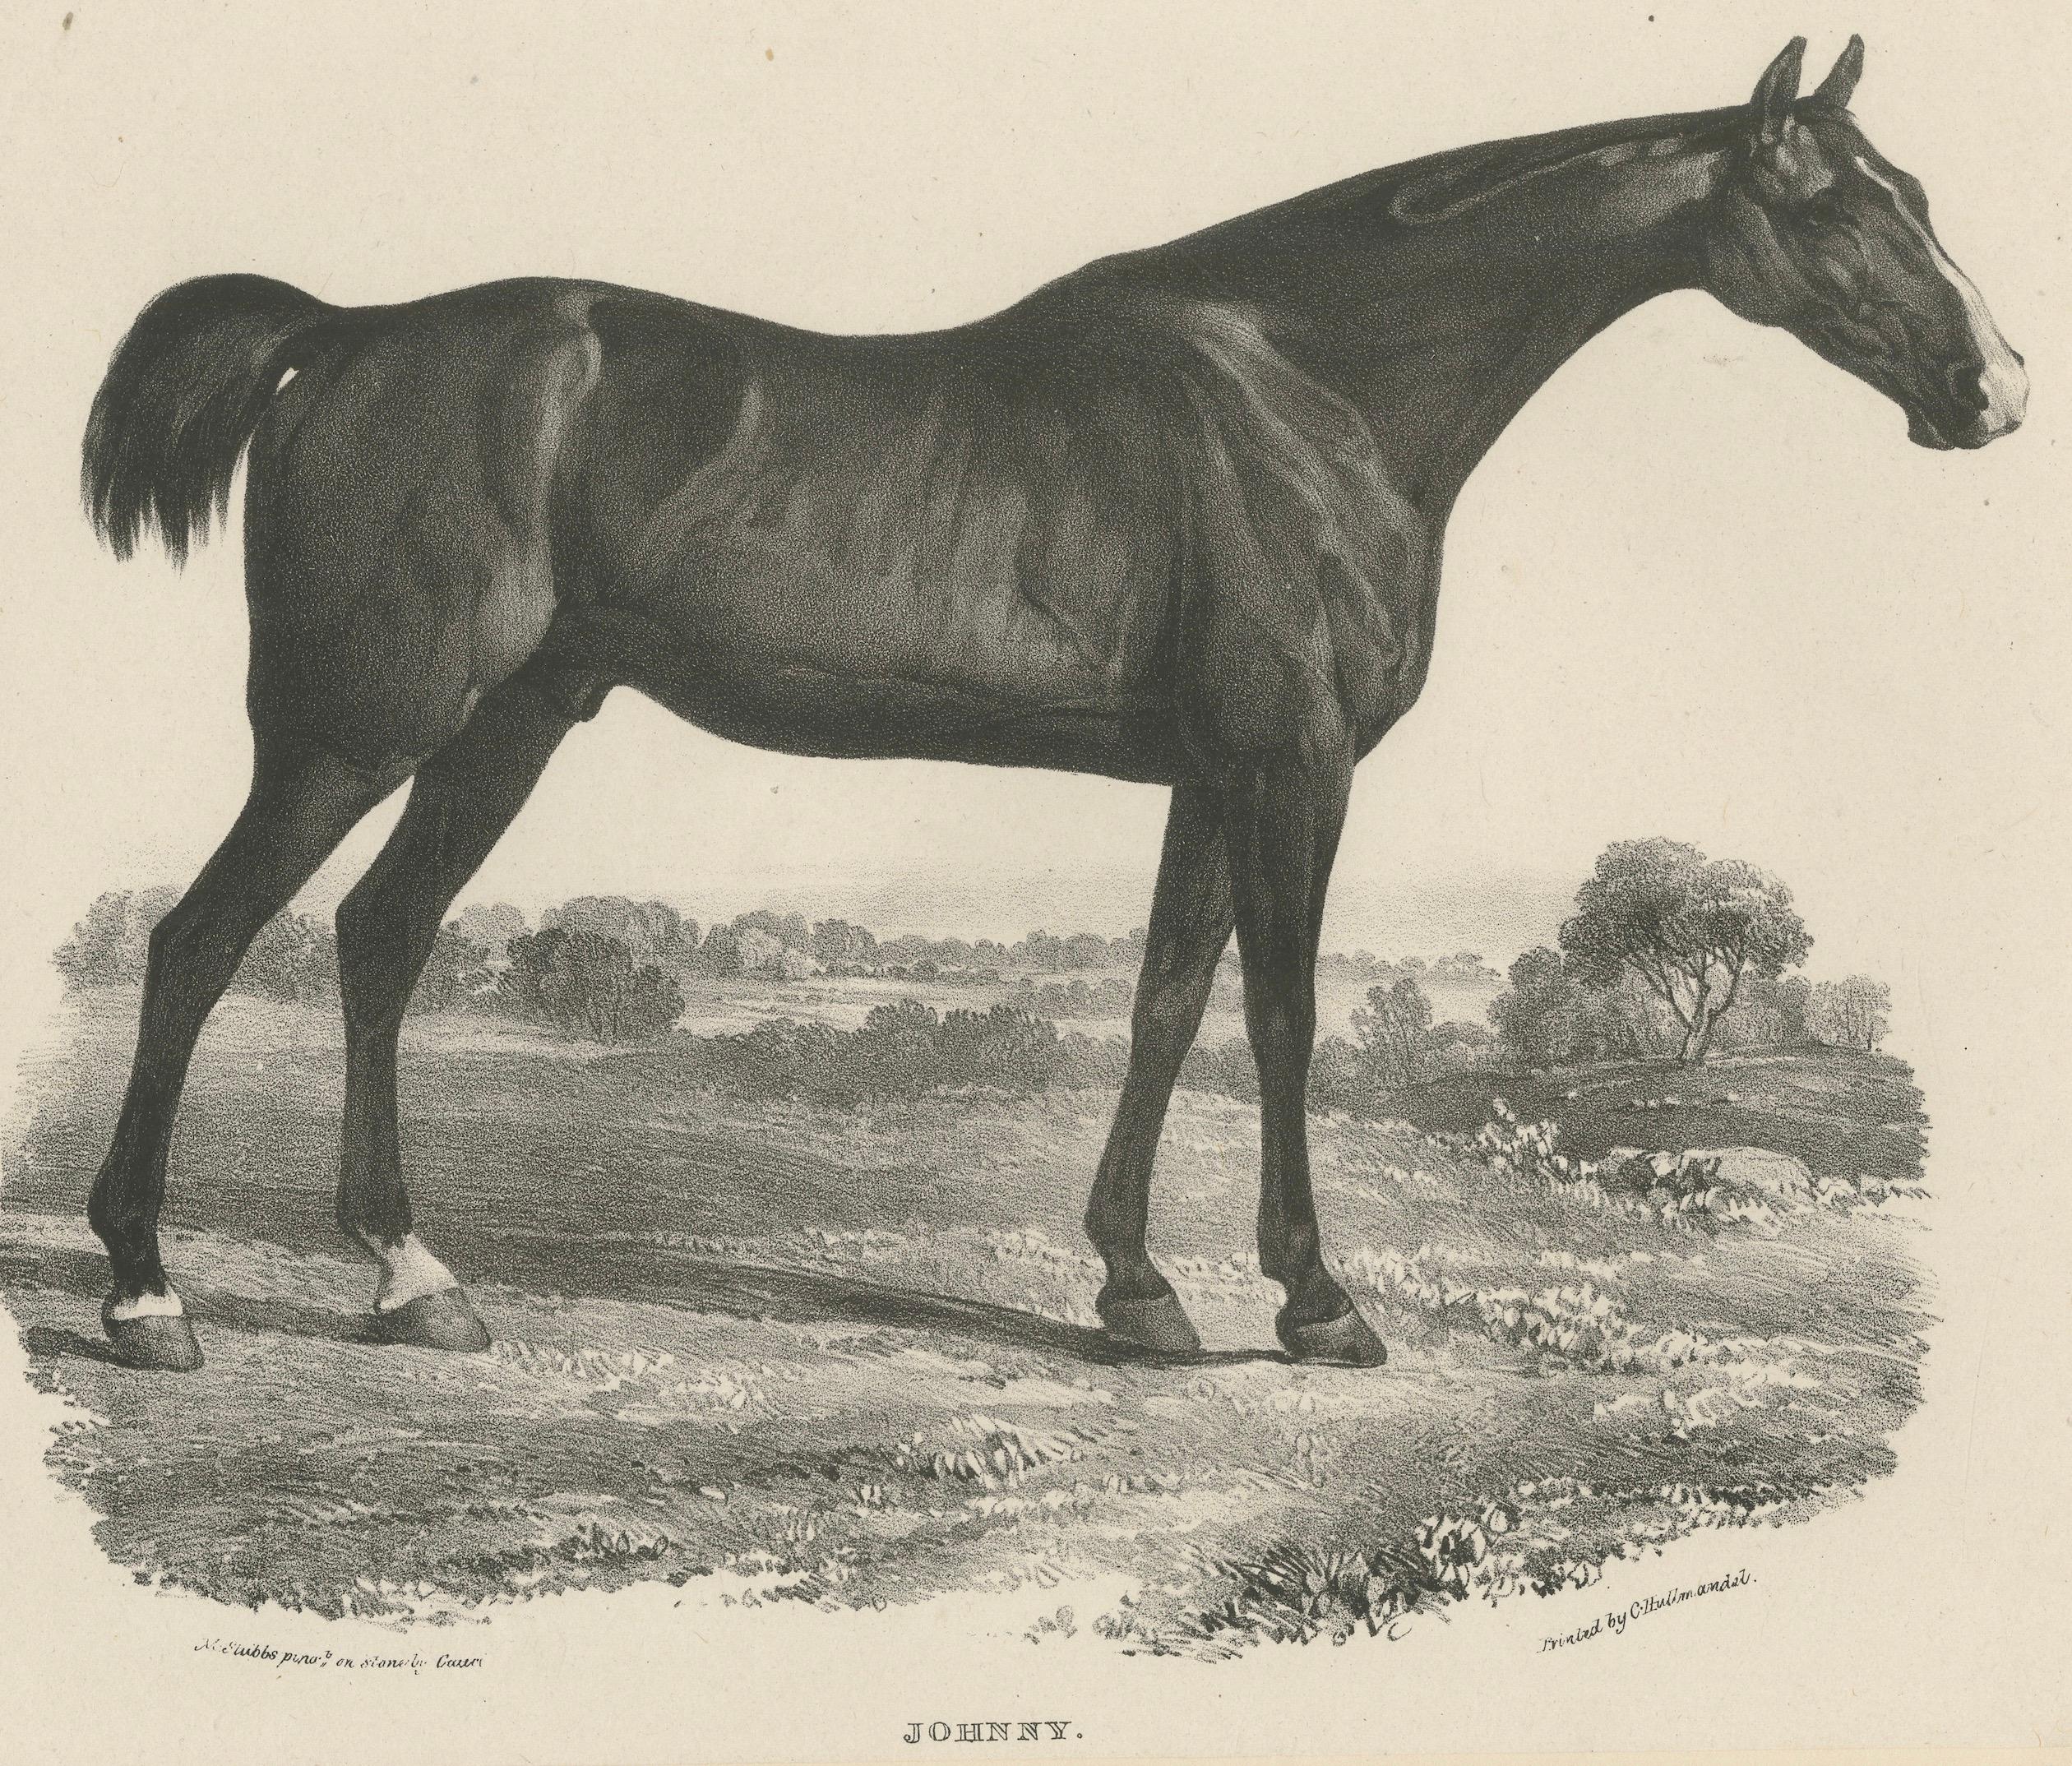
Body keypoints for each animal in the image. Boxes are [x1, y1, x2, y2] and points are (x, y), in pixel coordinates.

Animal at [78, 36, 2024, 1372]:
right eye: (1835, 201)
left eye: (1916, 193)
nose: (1995, 388)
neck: (1306, 386)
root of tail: (344, 332)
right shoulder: (1294, 767)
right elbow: (1283, 1020)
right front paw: (1316, 1302)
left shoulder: (1206, 778)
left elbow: (1165, 1008)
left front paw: (1138, 1291)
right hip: (356, 729)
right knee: (199, 944)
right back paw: (150, 1294)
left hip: (506, 726)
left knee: (377, 941)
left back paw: (413, 1281)